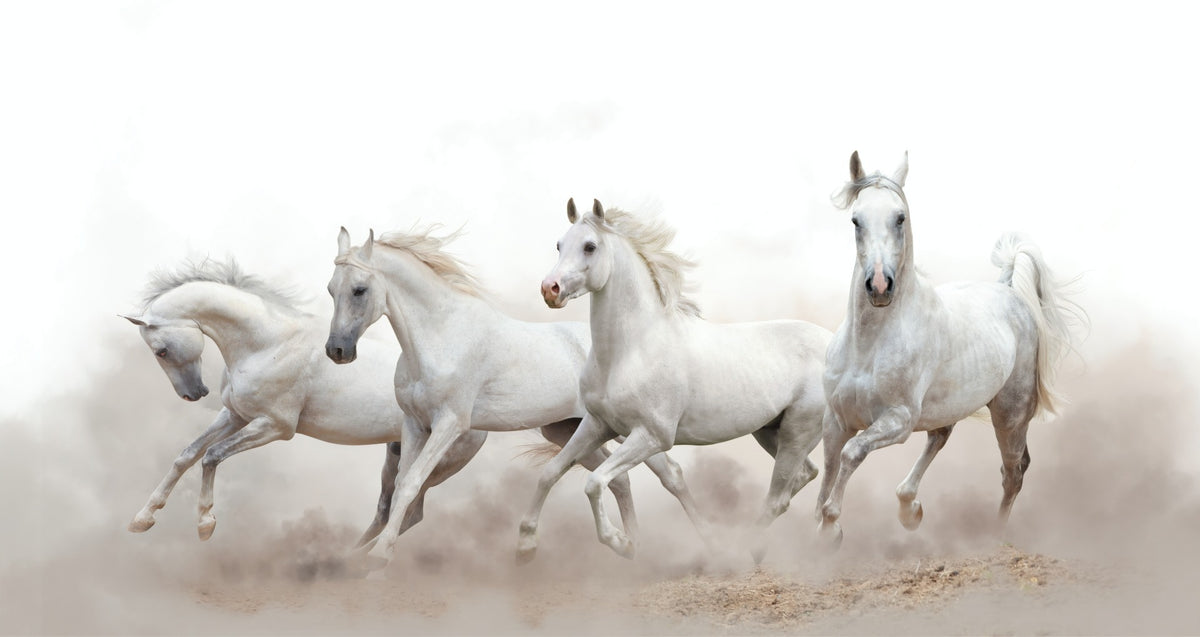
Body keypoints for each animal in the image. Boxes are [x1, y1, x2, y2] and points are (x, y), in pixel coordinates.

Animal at [122, 260, 488, 546]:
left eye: (161, 351)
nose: (194, 393)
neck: (269, 343)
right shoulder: (235, 416)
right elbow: (186, 455)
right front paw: (142, 519)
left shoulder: (275, 426)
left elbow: (211, 456)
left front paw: (205, 524)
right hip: (397, 454)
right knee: (389, 508)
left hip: (435, 464)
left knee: (409, 511)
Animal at [324, 226, 705, 569]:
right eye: (330, 289)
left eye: (359, 290)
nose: (337, 351)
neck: (442, 337)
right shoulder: (414, 425)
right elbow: (403, 483)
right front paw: (367, 554)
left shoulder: (450, 425)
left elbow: (410, 486)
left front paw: (378, 556)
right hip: (569, 430)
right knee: (620, 480)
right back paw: (630, 547)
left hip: (629, 428)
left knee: (670, 474)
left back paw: (705, 542)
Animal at [530, 199, 831, 562]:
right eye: (559, 245)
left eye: (590, 246)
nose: (550, 289)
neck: (631, 351)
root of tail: (835, 344)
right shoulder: (597, 424)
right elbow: (550, 473)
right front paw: (524, 544)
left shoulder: (652, 436)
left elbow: (595, 483)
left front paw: (622, 543)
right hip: (769, 431)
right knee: (802, 477)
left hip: (798, 433)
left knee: (778, 497)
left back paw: (742, 551)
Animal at [816, 151, 1080, 544]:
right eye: (855, 219)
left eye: (900, 217)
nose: (879, 286)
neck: (868, 346)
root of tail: (1008, 290)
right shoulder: (835, 418)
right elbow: (829, 468)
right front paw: (820, 530)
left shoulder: (898, 420)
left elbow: (852, 454)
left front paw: (831, 526)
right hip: (951, 405)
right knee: (941, 437)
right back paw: (910, 508)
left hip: (1010, 414)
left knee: (1014, 471)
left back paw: (993, 535)